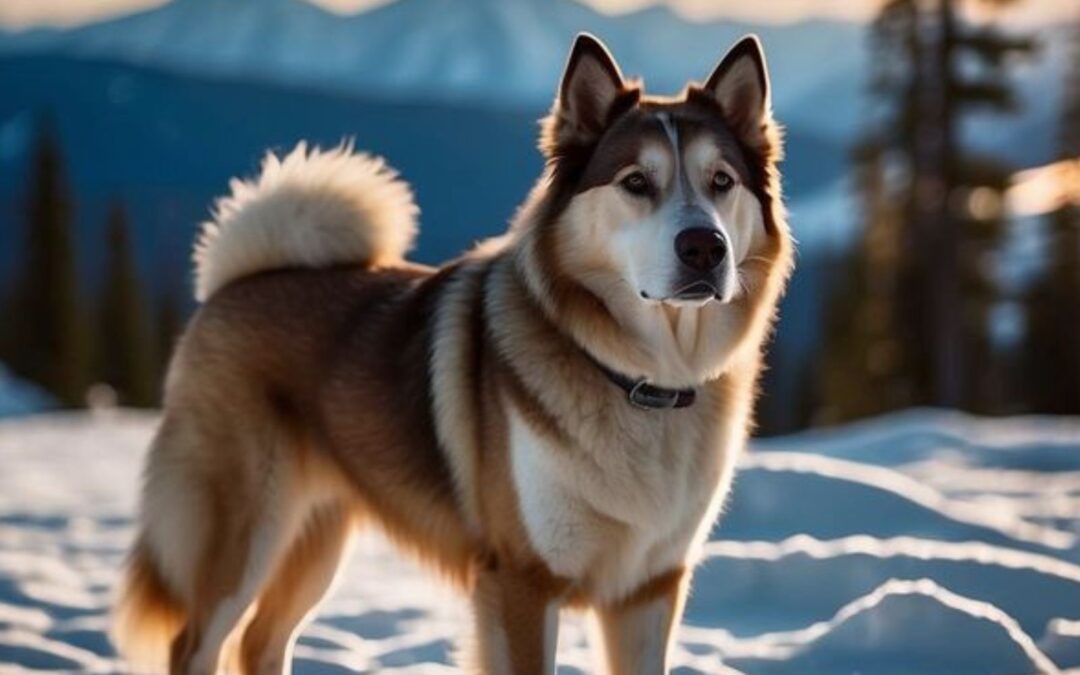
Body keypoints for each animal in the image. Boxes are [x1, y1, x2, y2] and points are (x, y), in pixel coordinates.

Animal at [111, 32, 794, 673]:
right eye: (635, 182)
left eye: (722, 182)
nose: (705, 247)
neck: (642, 379)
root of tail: (233, 281)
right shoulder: (522, 580)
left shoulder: (649, 589)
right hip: (247, 528)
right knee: (195, 644)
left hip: (318, 535)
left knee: (260, 641)